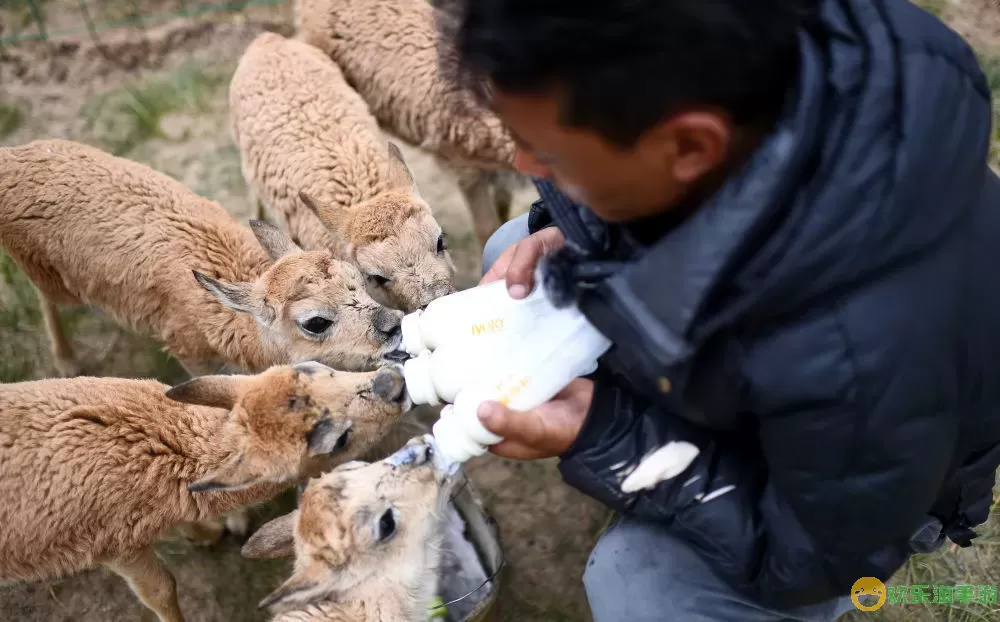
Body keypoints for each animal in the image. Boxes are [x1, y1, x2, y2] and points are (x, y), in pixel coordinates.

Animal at [0, 364, 410, 622]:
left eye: (316, 367)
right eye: (338, 440)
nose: (393, 383)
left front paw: (207, 534)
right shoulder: (111, 545)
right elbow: (162, 590)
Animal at [1, 139, 406, 378]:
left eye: (358, 278)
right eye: (315, 322)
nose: (392, 325)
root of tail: (13, 156)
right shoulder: (189, 351)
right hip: (48, 275)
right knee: (44, 298)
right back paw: (67, 361)